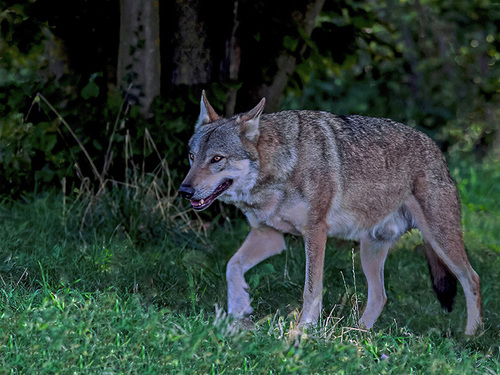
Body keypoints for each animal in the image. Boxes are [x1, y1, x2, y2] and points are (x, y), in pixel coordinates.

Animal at [178, 90, 482, 334]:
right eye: (192, 157)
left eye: (217, 159)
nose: (184, 191)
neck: (281, 167)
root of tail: (437, 150)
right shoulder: (268, 236)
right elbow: (232, 266)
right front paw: (237, 311)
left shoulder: (315, 233)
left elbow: (311, 290)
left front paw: (302, 331)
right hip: (370, 249)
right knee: (380, 296)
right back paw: (355, 335)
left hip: (439, 240)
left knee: (472, 279)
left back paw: (471, 336)